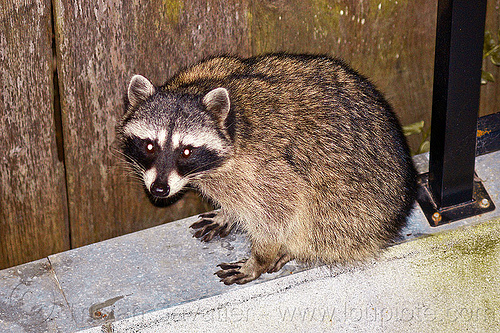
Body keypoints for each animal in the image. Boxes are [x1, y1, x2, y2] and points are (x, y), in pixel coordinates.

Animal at [115, 53, 416, 284]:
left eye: (186, 151)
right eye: (149, 146)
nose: (159, 189)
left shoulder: (267, 168)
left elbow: (283, 210)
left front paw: (260, 257)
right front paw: (229, 213)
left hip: (355, 212)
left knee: (319, 218)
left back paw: (296, 248)